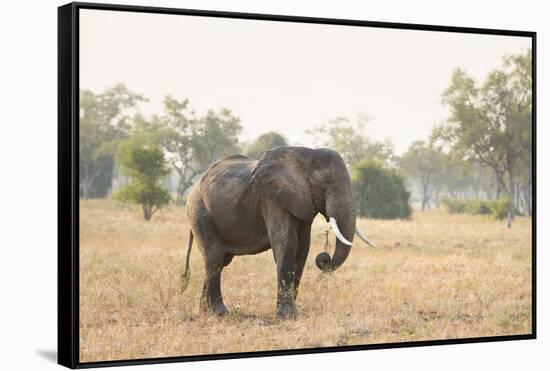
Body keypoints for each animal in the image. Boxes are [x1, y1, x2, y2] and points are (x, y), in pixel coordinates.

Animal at [184, 147, 376, 318]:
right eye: (327, 181)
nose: (324, 257)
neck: (307, 155)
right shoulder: (272, 199)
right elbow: (287, 244)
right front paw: (286, 316)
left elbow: (302, 250)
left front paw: (293, 313)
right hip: (199, 212)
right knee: (215, 258)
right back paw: (220, 313)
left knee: (221, 261)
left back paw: (205, 312)